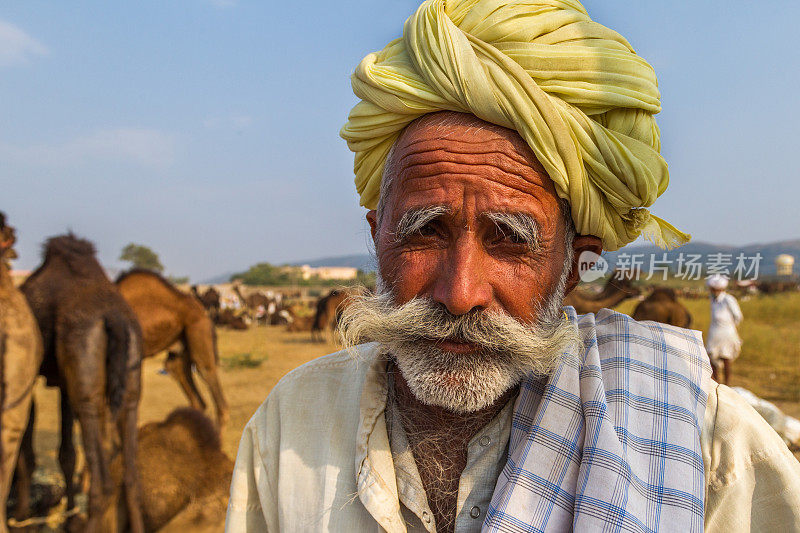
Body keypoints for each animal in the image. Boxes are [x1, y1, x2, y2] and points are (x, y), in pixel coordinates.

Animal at [18, 234, 144, 532]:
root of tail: (114, 318)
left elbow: (27, 451)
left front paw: (23, 519)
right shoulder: (65, 382)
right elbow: (66, 453)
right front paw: (69, 518)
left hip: (86, 382)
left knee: (104, 481)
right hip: (130, 381)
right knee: (131, 477)